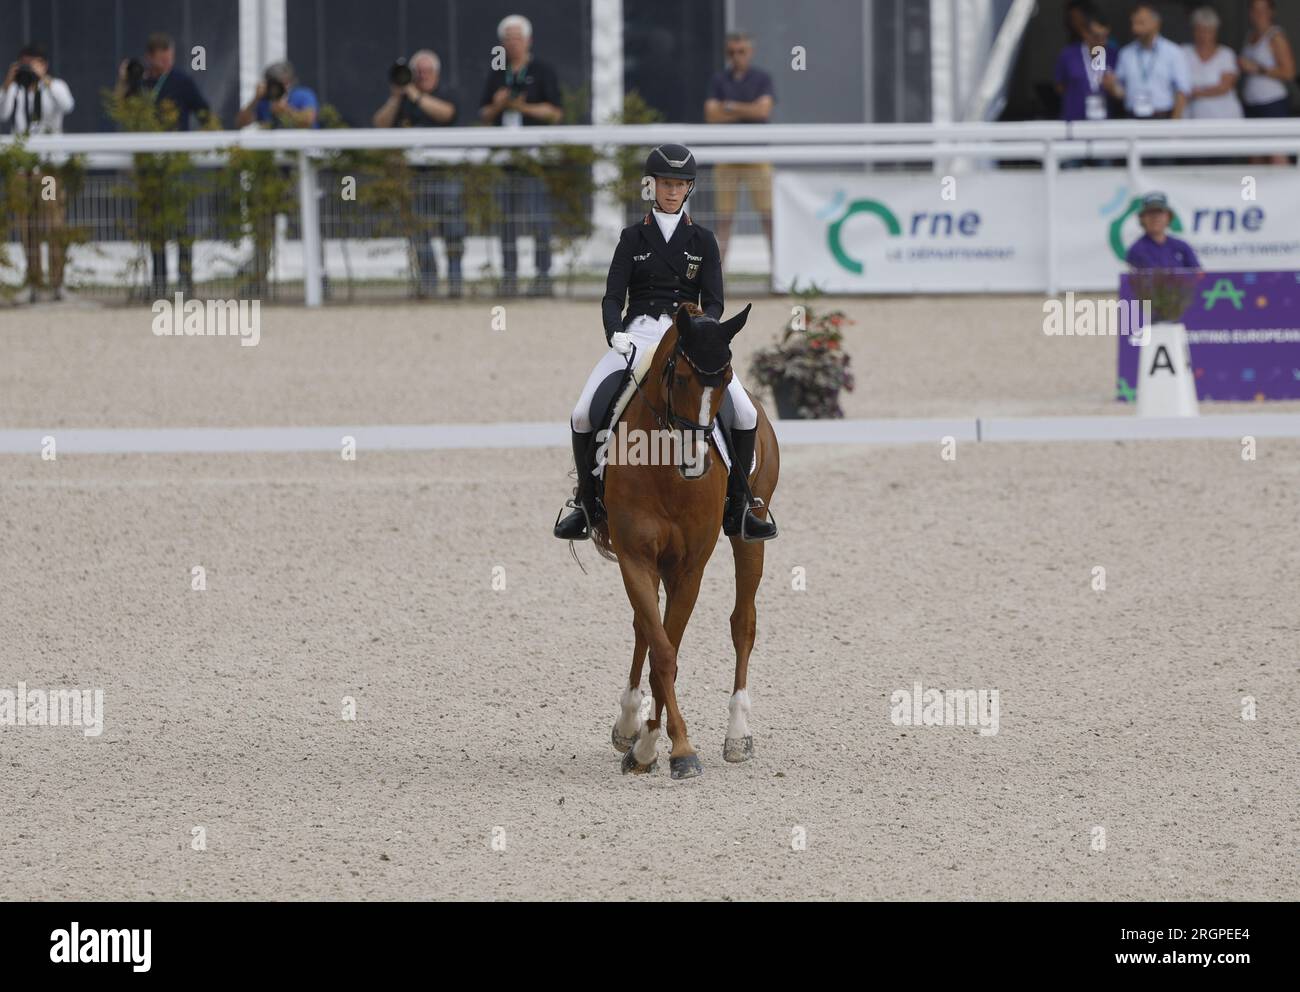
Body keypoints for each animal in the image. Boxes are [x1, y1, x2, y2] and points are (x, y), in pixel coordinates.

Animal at [592, 299, 774, 780]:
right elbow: (660, 648)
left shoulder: (690, 567)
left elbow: (668, 650)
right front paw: (647, 744)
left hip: (751, 536)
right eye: (680, 379)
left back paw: (737, 736)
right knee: (644, 627)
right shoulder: (636, 557)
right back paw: (629, 724)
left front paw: (668, 746)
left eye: (726, 379)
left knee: (743, 624)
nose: (696, 462)